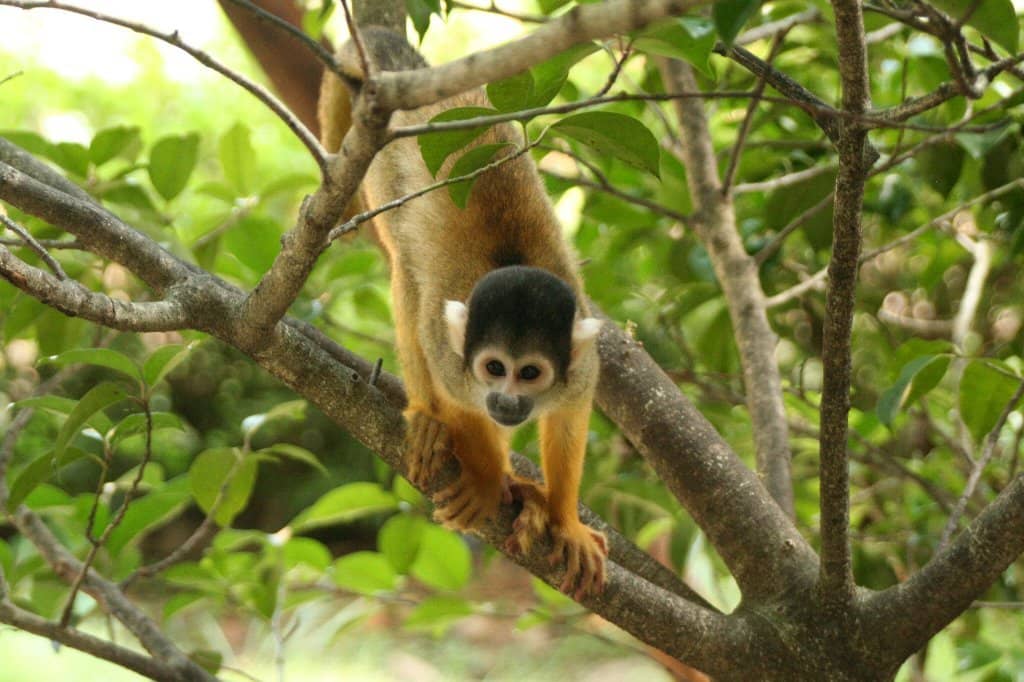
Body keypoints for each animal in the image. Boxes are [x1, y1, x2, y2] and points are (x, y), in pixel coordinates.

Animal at [319, 27, 607, 597]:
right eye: (494, 367)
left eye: (530, 373)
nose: (507, 400)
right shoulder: (452, 358)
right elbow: (459, 398)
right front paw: (486, 477)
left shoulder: (581, 366)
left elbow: (570, 413)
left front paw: (563, 519)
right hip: (385, 174)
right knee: (408, 278)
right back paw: (430, 420)